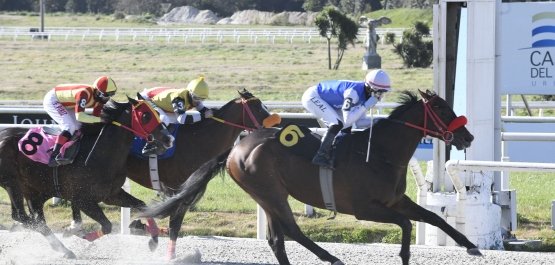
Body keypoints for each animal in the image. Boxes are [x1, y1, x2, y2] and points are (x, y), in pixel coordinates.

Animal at [0, 95, 174, 258]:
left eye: (157, 113)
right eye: (146, 116)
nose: (169, 138)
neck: (100, 154)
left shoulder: (112, 195)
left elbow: (143, 206)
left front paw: (153, 238)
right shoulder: (83, 199)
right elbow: (107, 226)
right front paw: (80, 233)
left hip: (33, 190)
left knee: (36, 218)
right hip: (12, 183)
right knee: (23, 217)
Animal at [66, 88, 282, 258]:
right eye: (258, 107)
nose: (277, 127)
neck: (199, 140)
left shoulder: (184, 191)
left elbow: (170, 222)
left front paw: (141, 227)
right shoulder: (178, 189)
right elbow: (174, 224)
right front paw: (168, 253)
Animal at [140, 89, 482, 264]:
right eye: (442, 108)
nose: (467, 137)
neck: (380, 152)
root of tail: (237, 148)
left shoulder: (396, 200)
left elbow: (433, 218)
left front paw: (470, 246)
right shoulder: (364, 208)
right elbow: (407, 225)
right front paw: (405, 255)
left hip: (265, 195)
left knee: (276, 239)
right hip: (271, 191)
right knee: (291, 231)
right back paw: (331, 258)